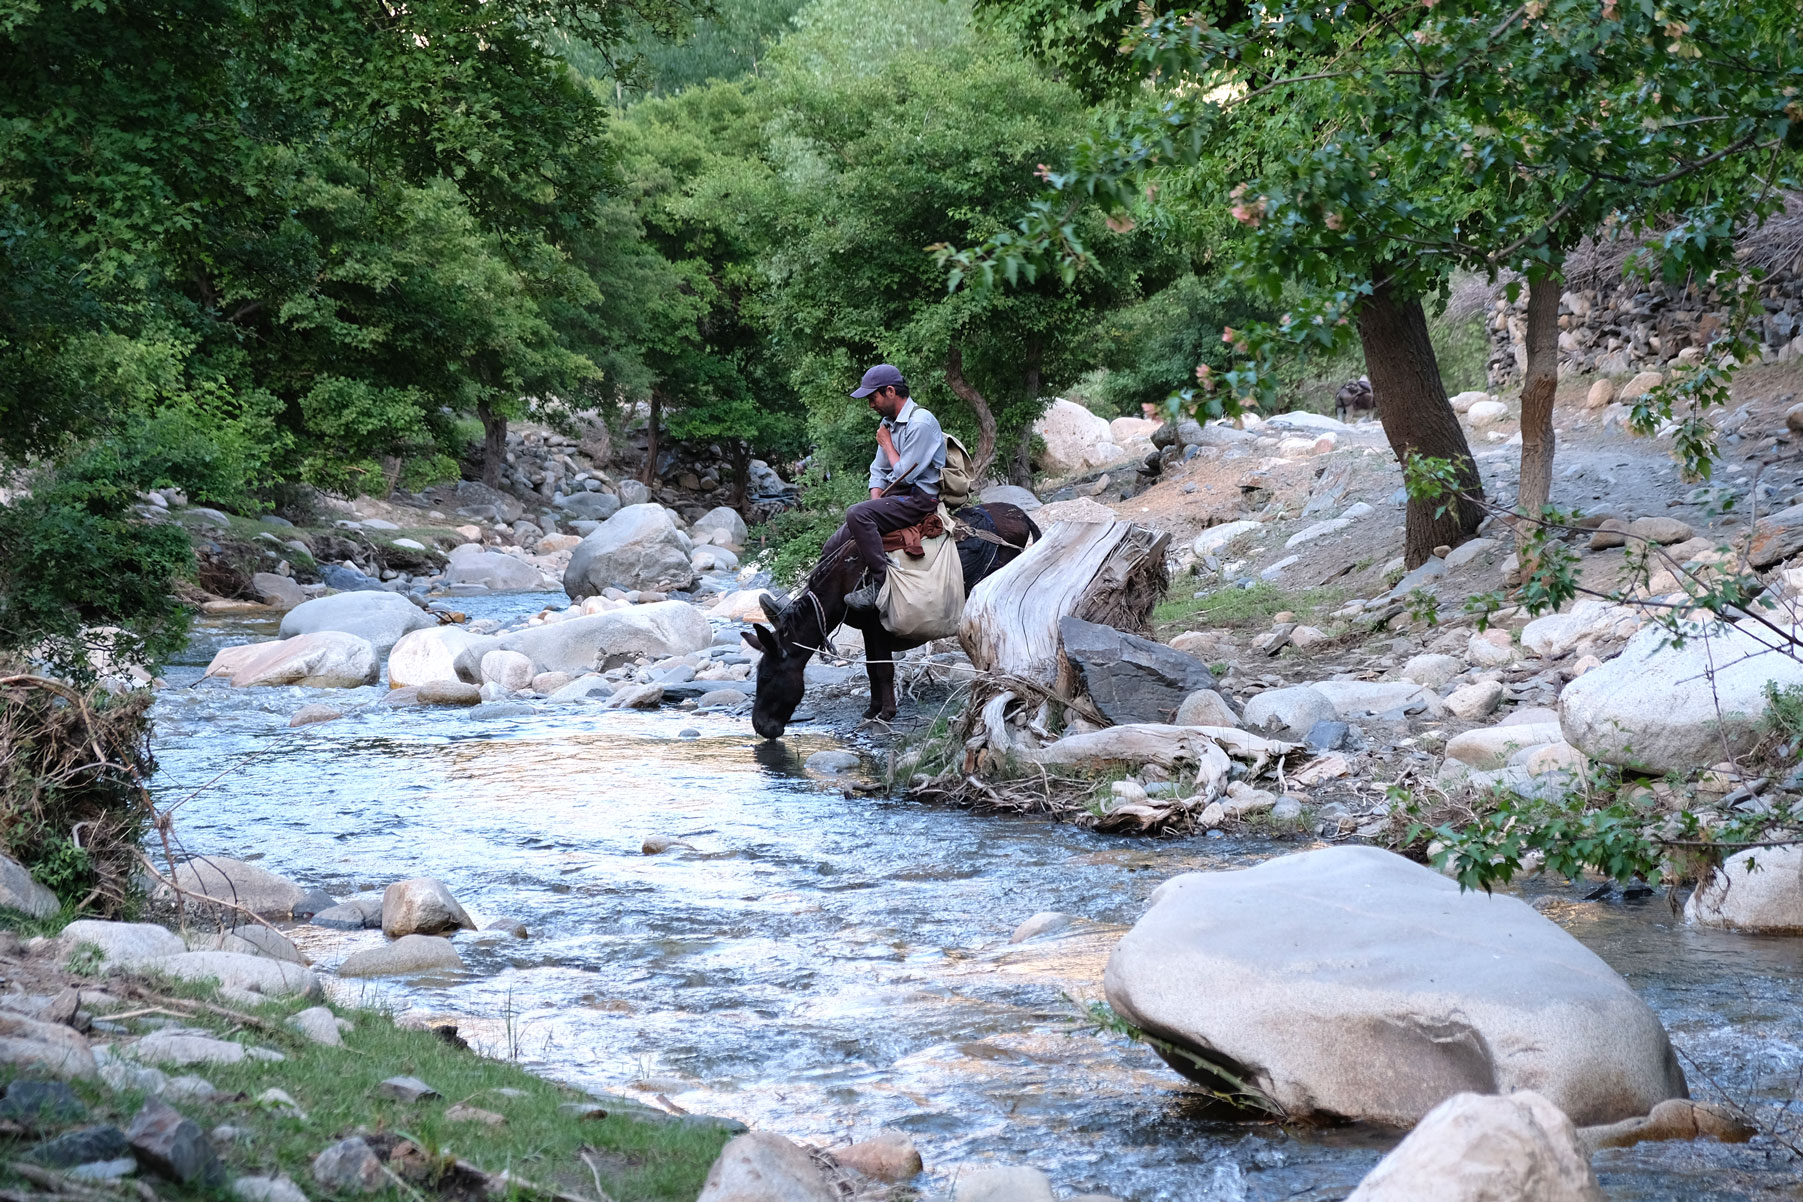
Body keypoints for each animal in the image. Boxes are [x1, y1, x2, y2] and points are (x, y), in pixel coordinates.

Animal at [746, 500, 1045, 742]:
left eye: (767, 676)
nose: (760, 726)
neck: (838, 587)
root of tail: (1021, 515)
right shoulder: (868, 629)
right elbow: (871, 668)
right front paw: (872, 709)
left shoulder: (877, 626)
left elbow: (883, 670)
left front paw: (887, 713)